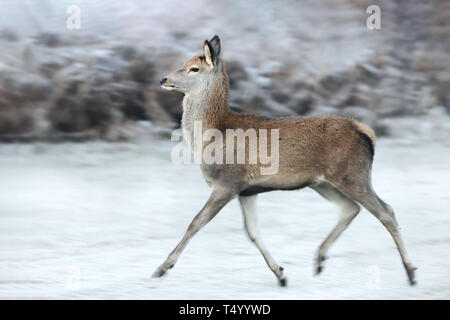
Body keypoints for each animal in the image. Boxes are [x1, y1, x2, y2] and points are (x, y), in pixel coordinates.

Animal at [153, 35, 416, 288]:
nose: (163, 78)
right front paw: (280, 274)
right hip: (322, 182)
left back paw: (411, 272)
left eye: (194, 68)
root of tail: (367, 134)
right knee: (350, 208)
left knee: (386, 211)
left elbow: (195, 223)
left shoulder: (227, 182)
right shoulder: (246, 190)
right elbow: (252, 232)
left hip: (352, 174)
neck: (211, 135)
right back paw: (319, 260)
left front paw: (162, 267)